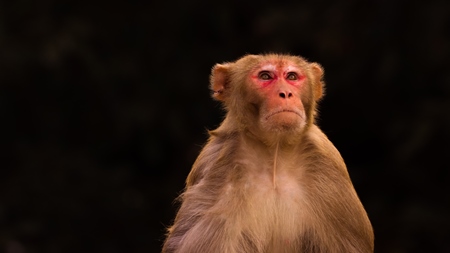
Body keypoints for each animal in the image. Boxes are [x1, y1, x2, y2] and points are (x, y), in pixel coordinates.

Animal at [163, 54, 374, 252]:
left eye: (292, 76)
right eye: (265, 76)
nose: (286, 93)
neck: (275, 155)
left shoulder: (328, 169)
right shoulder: (215, 166)